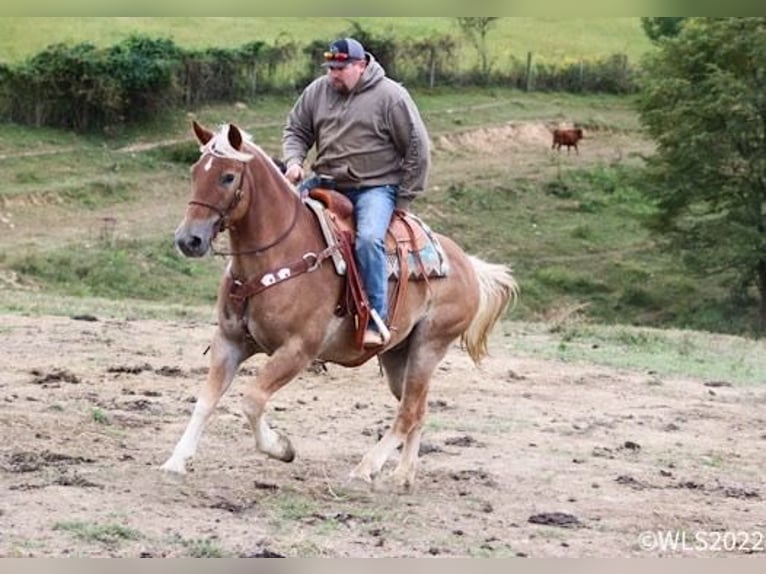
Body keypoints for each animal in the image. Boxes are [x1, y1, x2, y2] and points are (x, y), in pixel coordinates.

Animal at [162, 120, 520, 490]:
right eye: (195, 171)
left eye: (228, 176)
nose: (188, 239)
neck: (278, 253)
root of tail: (467, 265)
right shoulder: (229, 342)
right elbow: (206, 400)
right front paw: (177, 460)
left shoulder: (298, 350)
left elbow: (252, 400)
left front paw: (282, 448)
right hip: (398, 355)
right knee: (417, 410)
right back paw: (403, 475)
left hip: (429, 346)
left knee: (407, 413)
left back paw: (366, 468)